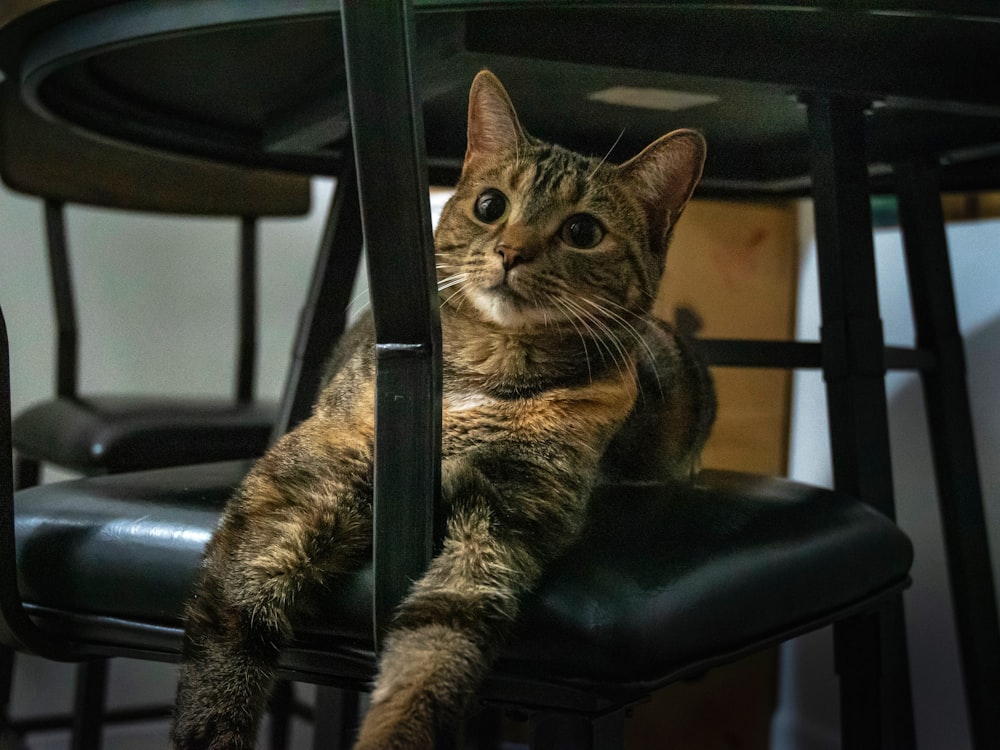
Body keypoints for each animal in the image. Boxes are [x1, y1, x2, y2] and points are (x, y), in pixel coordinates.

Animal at [174, 72, 720, 750]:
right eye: (490, 206)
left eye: (583, 231)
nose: (511, 251)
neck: (490, 370)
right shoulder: (299, 483)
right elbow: (231, 631)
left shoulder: (506, 514)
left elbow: (436, 648)